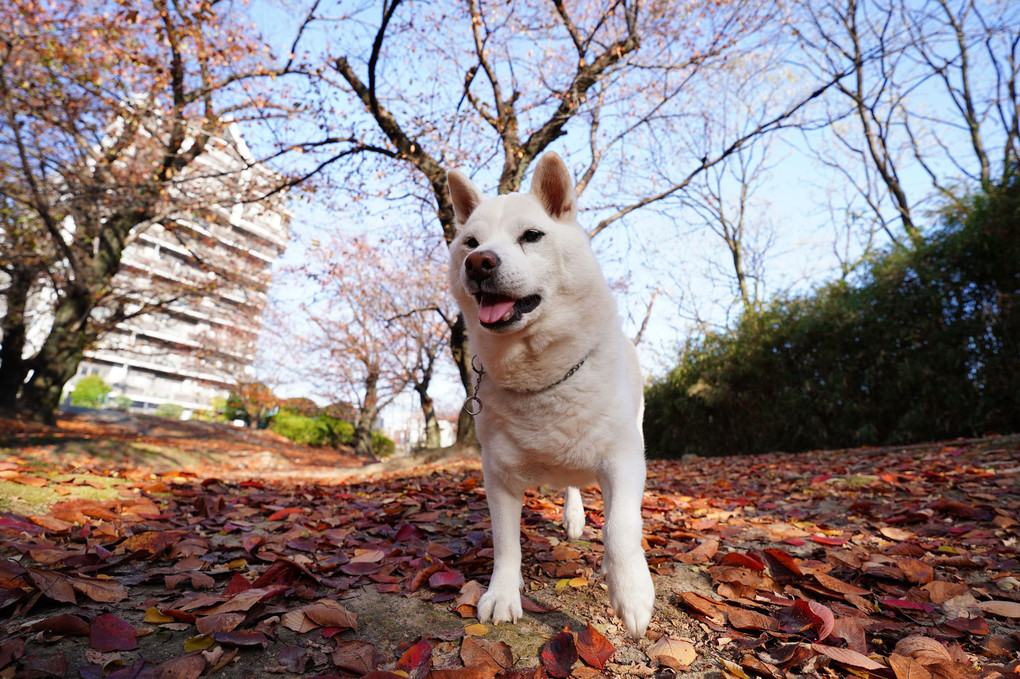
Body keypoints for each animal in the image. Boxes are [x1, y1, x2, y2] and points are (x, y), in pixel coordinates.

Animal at [446, 151, 652, 636]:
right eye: (469, 242)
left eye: (532, 236)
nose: (478, 262)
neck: (542, 379)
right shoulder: (498, 475)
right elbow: (506, 542)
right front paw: (503, 594)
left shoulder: (624, 460)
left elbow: (620, 529)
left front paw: (631, 592)